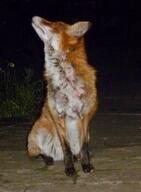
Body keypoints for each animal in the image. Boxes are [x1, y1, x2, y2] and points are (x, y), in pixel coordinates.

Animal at [28, 16, 97, 176]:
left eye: (52, 24)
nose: (35, 17)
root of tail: (56, 156)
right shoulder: (59, 115)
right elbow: (67, 148)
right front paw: (70, 169)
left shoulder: (85, 116)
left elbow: (84, 147)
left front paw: (86, 165)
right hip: (38, 132)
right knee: (42, 153)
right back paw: (49, 158)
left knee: (76, 151)